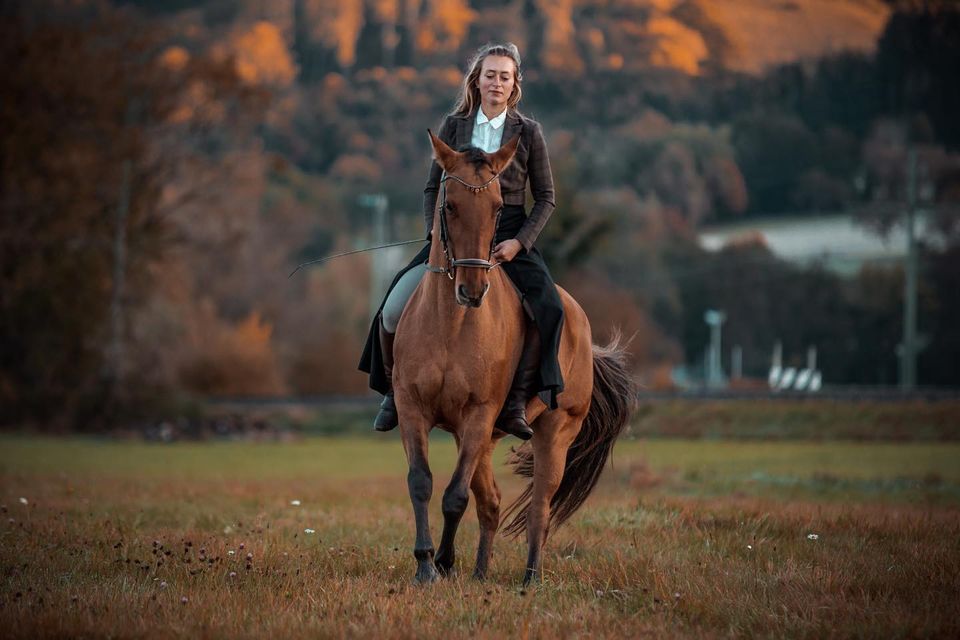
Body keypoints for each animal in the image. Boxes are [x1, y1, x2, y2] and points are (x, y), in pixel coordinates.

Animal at [394, 131, 632, 584]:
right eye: (449, 206)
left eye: (498, 207)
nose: (472, 290)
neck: (452, 325)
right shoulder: (411, 407)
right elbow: (421, 482)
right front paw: (427, 566)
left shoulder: (479, 414)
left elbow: (454, 495)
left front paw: (443, 563)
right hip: (484, 438)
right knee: (491, 502)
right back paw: (480, 573)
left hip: (553, 432)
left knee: (540, 506)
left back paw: (531, 578)